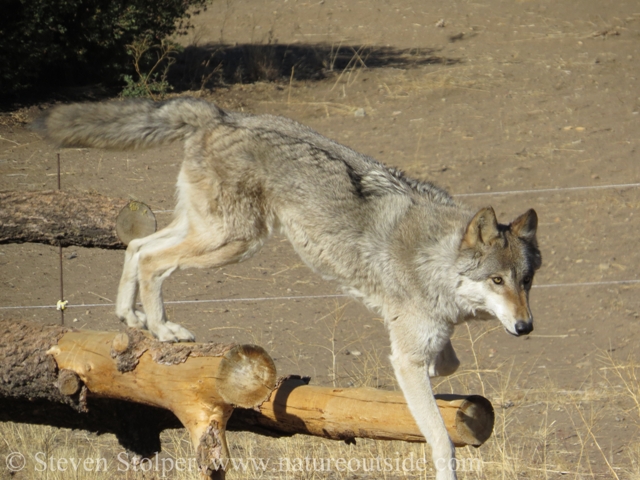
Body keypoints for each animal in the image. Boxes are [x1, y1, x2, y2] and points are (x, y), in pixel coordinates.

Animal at [35, 98, 544, 480]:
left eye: (526, 281)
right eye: (496, 280)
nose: (526, 327)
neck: (434, 258)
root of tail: (221, 114)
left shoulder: (421, 344)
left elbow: (449, 364)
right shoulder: (406, 357)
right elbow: (440, 438)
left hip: (214, 234)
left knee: (138, 246)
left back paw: (132, 318)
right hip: (231, 242)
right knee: (152, 260)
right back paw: (162, 330)